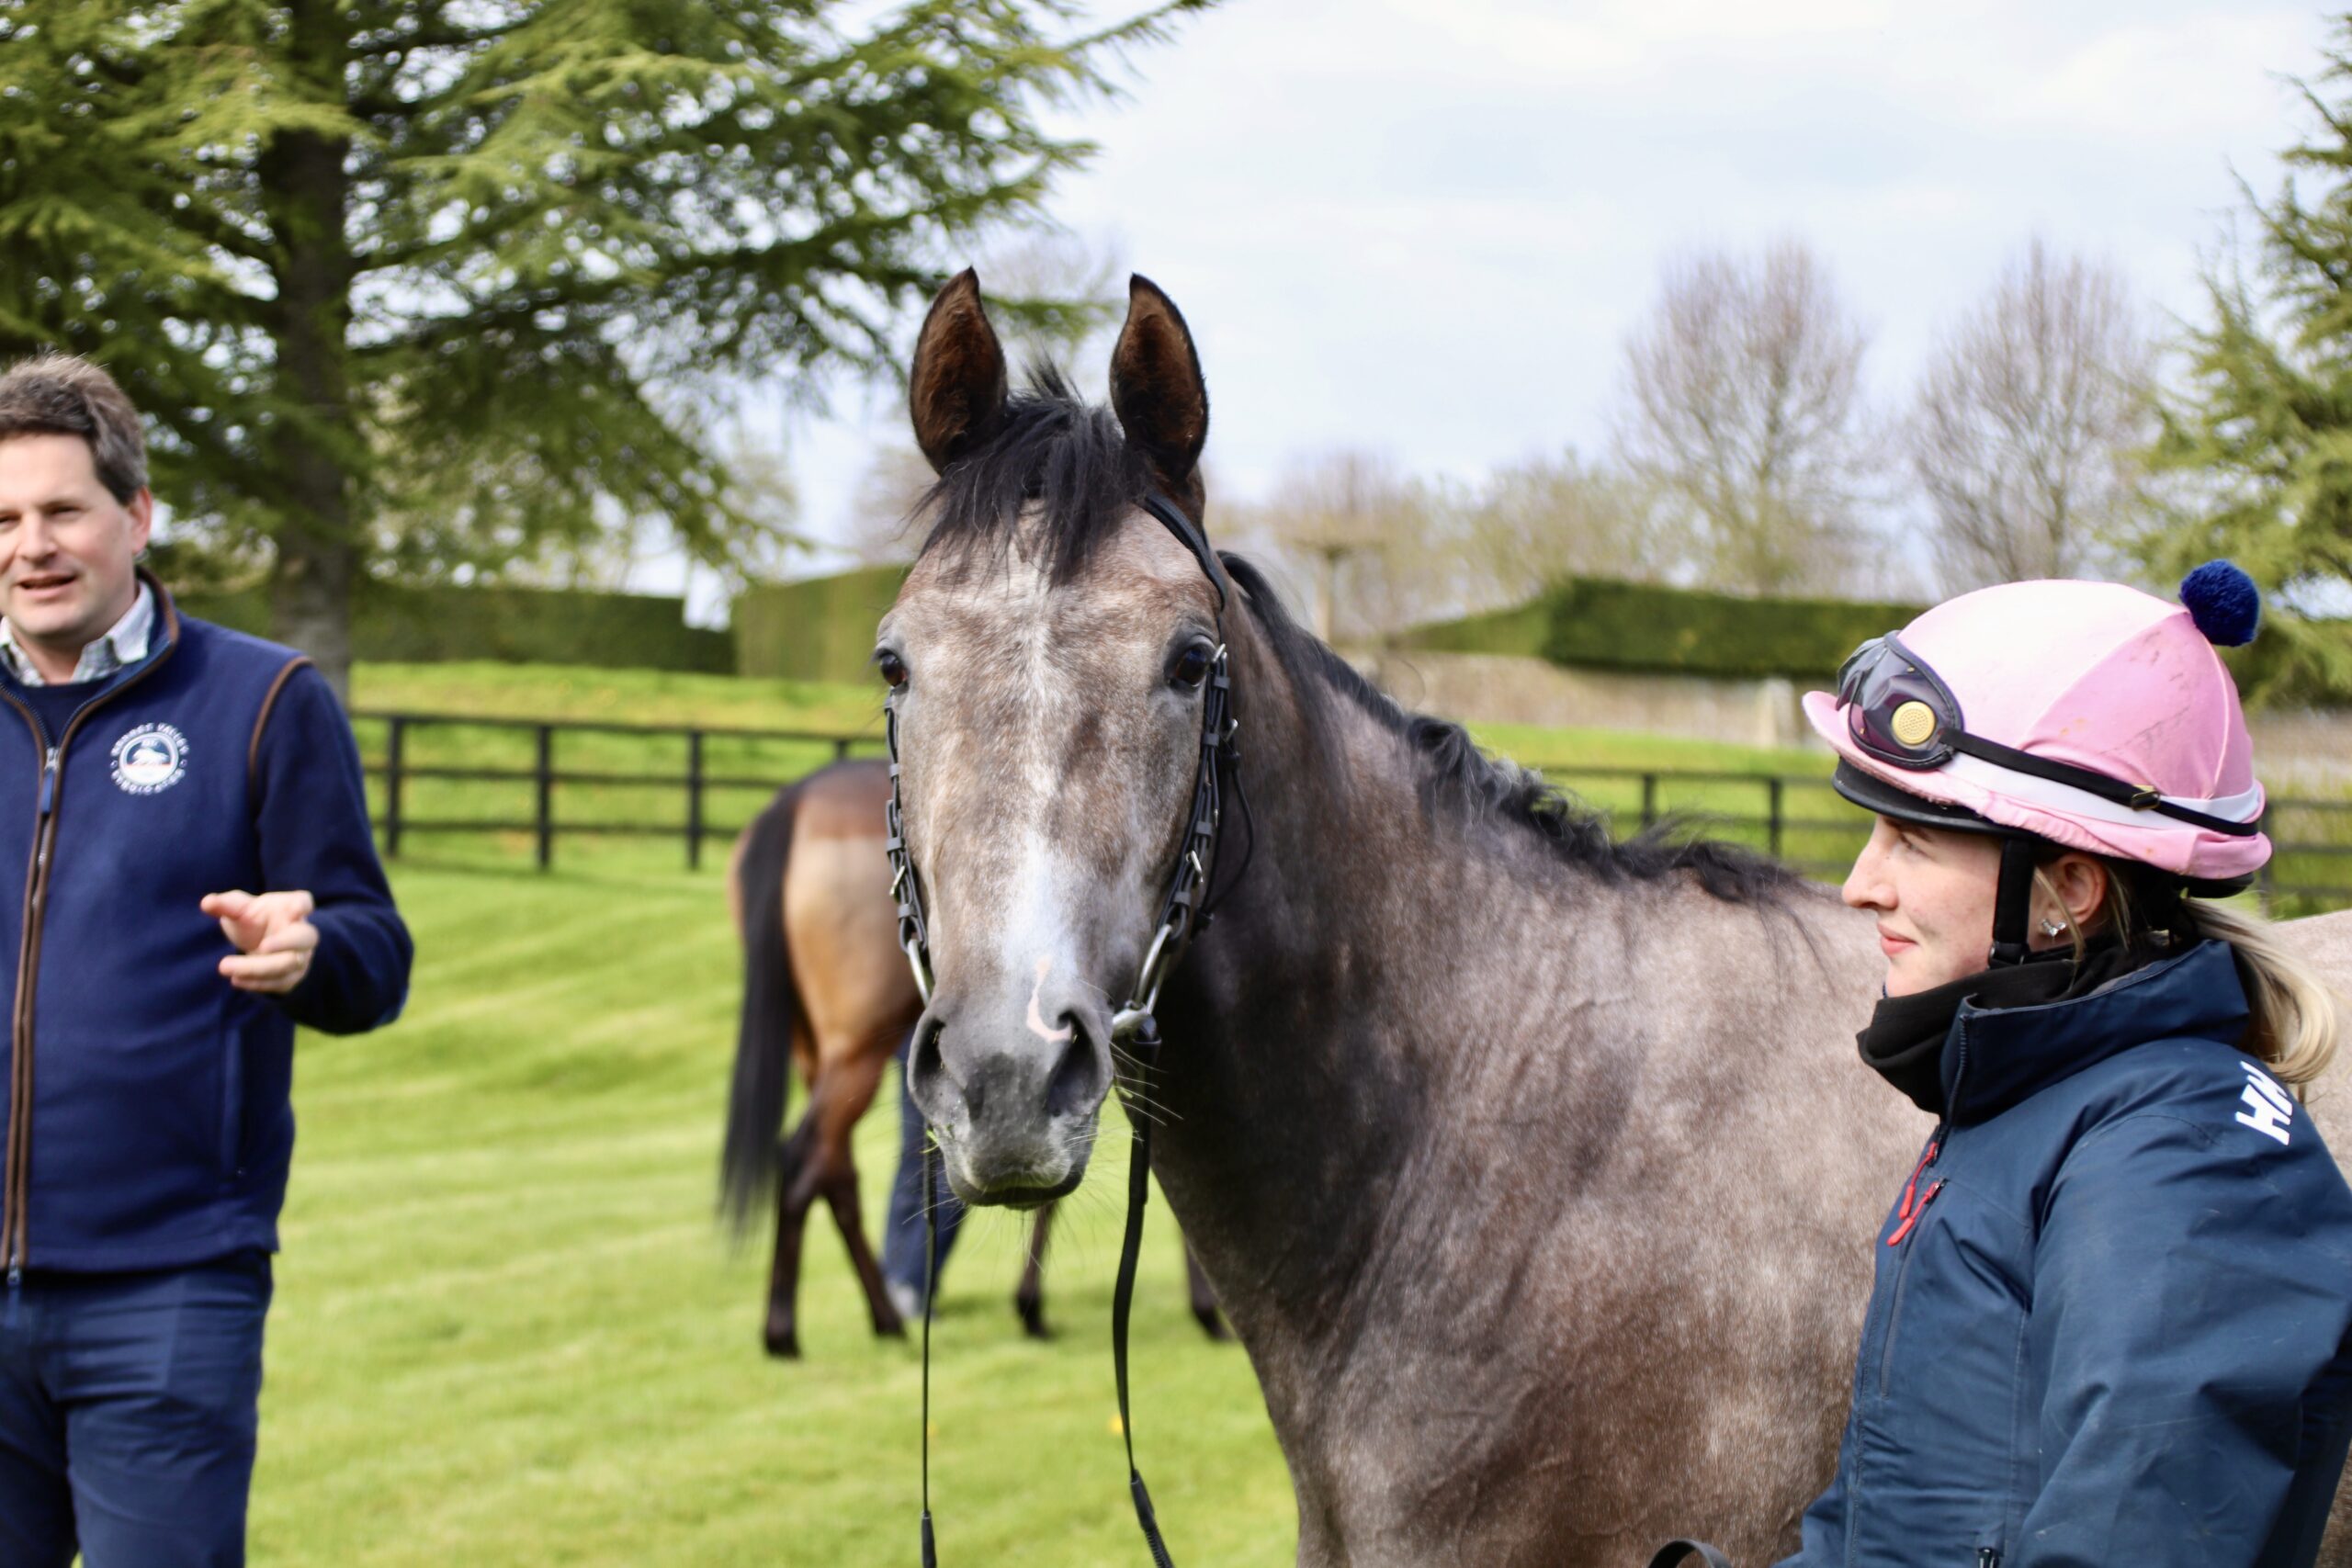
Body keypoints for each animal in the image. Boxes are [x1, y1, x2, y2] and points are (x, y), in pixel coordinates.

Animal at [717, 759, 1225, 1358]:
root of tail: (795, 800)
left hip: (817, 1049)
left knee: (832, 1169)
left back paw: (881, 1317)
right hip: (856, 1050)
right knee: (804, 1159)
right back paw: (787, 1330)